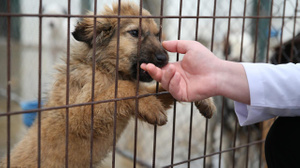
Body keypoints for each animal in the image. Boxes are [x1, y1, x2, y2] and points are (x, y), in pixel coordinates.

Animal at [0, 2, 216, 167]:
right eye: (135, 32)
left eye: (157, 35)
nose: (164, 59)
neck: (105, 68)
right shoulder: (78, 113)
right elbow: (121, 89)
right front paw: (150, 105)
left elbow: (162, 90)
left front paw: (204, 98)